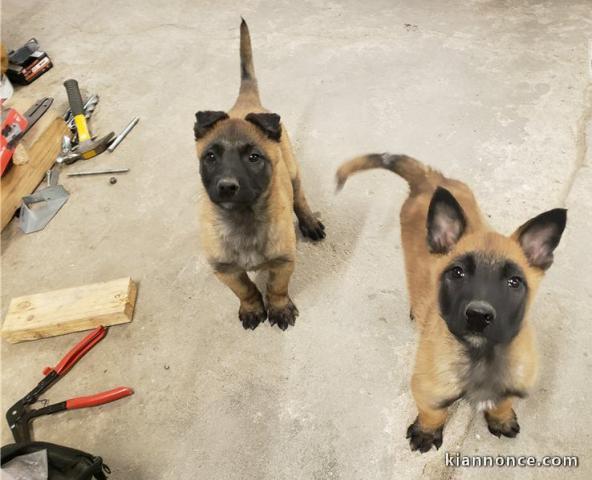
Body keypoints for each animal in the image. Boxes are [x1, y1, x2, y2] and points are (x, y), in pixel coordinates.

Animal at [194, 20, 324, 332]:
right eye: (210, 157)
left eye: (254, 158)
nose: (227, 186)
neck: (243, 219)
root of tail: (246, 104)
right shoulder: (226, 271)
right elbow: (246, 290)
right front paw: (253, 309)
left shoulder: (283, 261)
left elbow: (276, 288)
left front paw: (278, 309)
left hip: (293, 171)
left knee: (300, 198)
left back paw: (310, 223)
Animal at [336, 155, 568, 454]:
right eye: (457, 273)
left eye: (514, 282)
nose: (479, 316)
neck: (481, 355)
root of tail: (429, 179)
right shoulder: (427, 389)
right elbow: (433, 413)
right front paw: (426, 432)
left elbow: (503, 402)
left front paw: (501, 418)